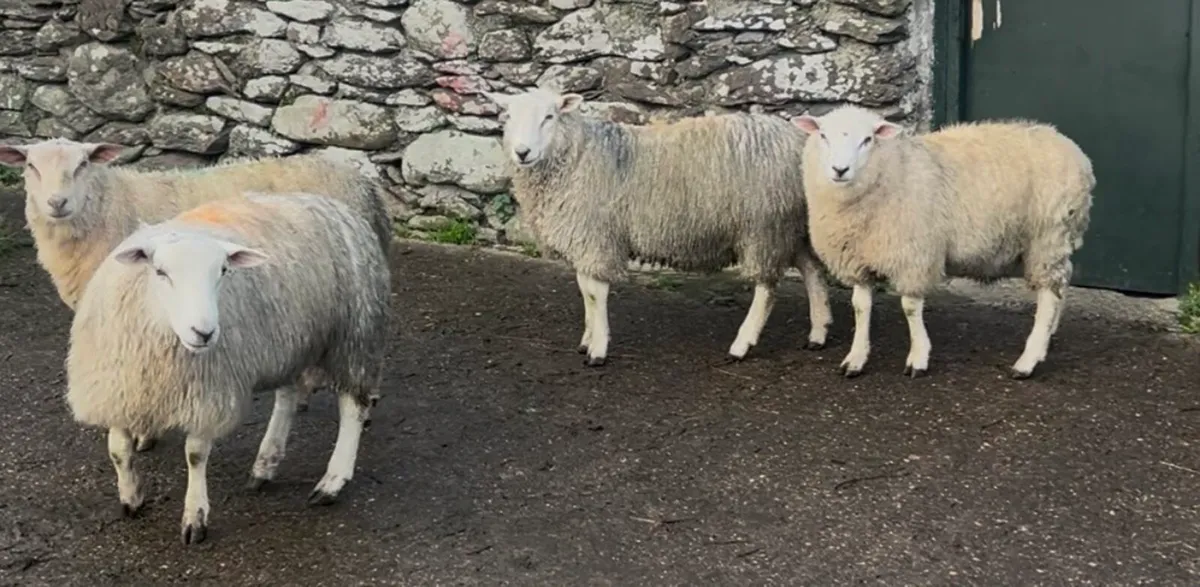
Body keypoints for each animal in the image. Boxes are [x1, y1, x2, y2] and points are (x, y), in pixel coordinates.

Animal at [0, 139, 394, 448]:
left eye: (82, 164)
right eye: (31, 166)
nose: (57, 202)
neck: (111, 205)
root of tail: (360, 180)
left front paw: (143, 435)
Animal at [65, 191, 391, 545]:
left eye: (223, 271)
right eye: (161, 272)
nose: (204, 332)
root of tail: (335, 205)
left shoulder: (208, 391)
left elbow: (195, 455)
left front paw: (195, 517)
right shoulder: (119, 385)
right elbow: (118, 450)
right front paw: (131, 498)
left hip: (354, 332)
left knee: (353, 407)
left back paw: (332, 481)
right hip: (291, 339)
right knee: (288, 397)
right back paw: (265, 465)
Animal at [482, 87, 833, 366]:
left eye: (549, 117)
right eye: (508, 116)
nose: (522, 152)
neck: (576, 156)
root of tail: (799, 139)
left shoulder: (596, 235)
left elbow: (595, 293)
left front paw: (598, 348)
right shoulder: (585, 238)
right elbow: (585, 291)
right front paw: (586, 338)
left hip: (764, 226)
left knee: (767, 288)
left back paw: (741, 345)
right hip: (792, 225)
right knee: (812, 270)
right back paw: (818, 333)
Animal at [792, 105, 1094, 379]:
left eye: (867, 140)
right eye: (823, 135)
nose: (839, 169)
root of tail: (1071, 149)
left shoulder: (914, 255)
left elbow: (910, 307)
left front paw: (918, 358)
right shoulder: (859, 259)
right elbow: (860, 307)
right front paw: (855, 359)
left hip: (1047, 236)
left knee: (1049, 295)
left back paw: (1028, 360)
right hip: (1056, 240)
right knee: (1063, 280)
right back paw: (1049, 336)